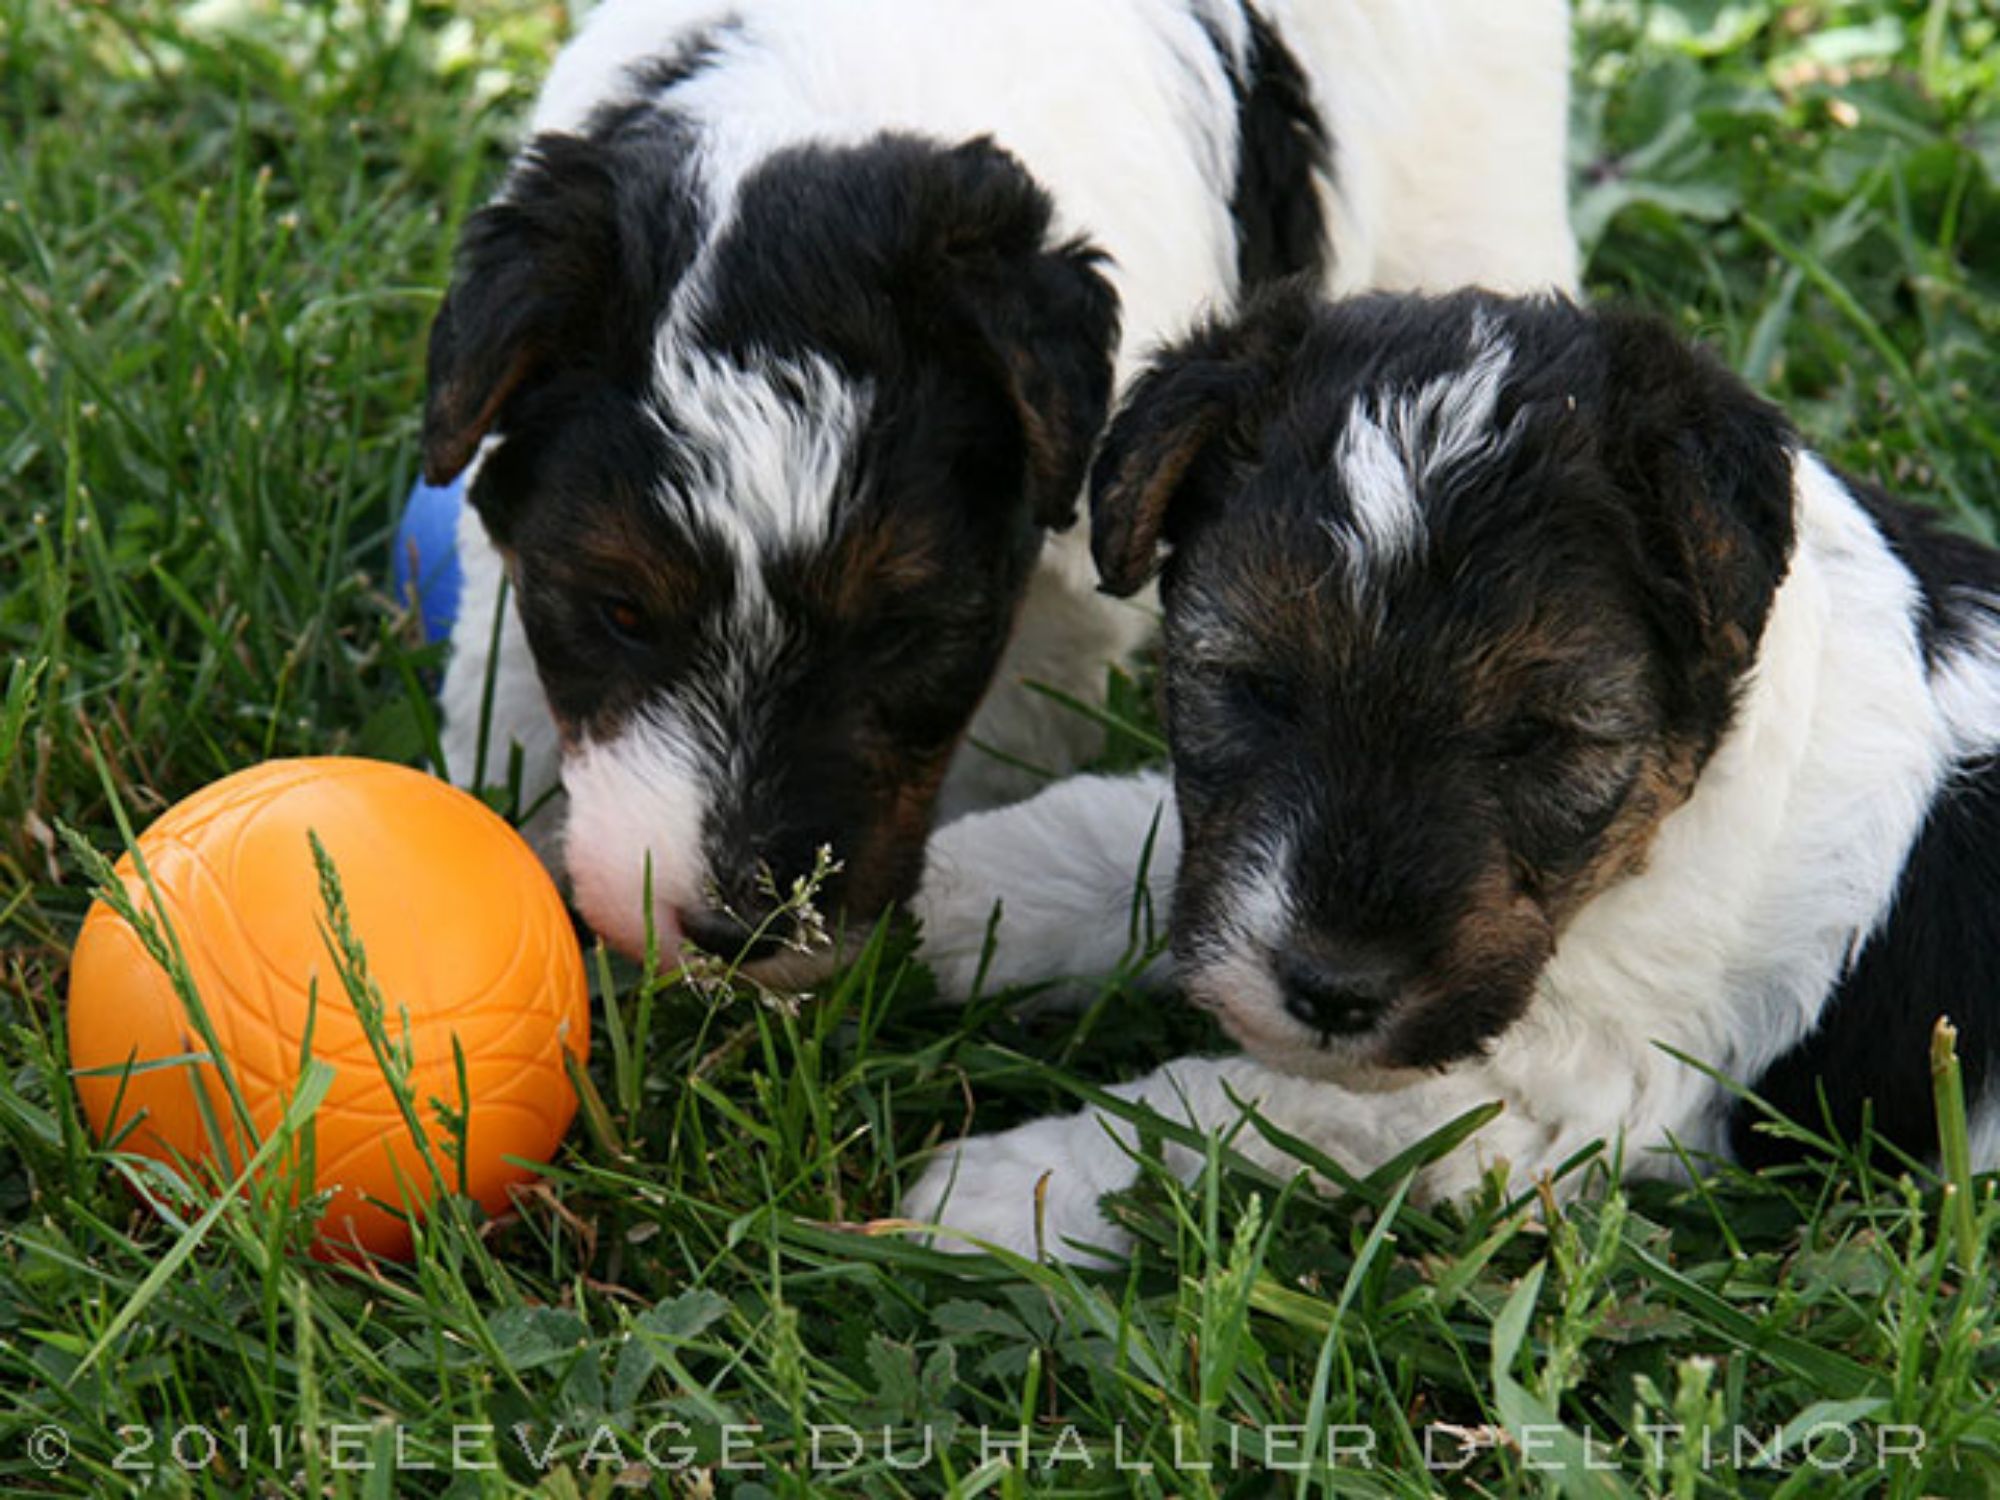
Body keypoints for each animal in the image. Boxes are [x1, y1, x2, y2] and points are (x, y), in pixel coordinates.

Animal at [908, 287, 2000, 1258]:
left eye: (1538, 735)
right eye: (1255, 686)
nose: (1333, 993)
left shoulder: (1549, 1092)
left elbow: (1244, 1106)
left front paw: (1006, 1191)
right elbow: (1121, 840)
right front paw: (935, 896)